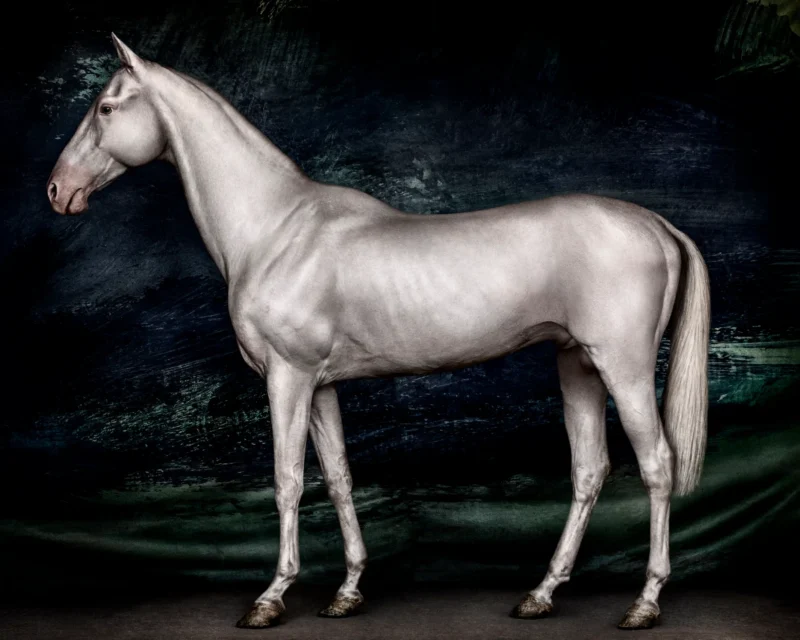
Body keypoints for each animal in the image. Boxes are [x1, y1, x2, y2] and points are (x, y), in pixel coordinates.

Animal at [47, 33, 711, 630]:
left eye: (106, 108)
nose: (58, 190)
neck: (277, 229)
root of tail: (656, 225)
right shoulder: (319, 386)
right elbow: (339, 479)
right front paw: (347, 592)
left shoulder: (287, 379)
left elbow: (287, 482)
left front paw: (271, 598)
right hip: (578, 365)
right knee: (589, 471)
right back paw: (541, 594)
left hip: (623, 368)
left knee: (657, 464)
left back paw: (644, 603)